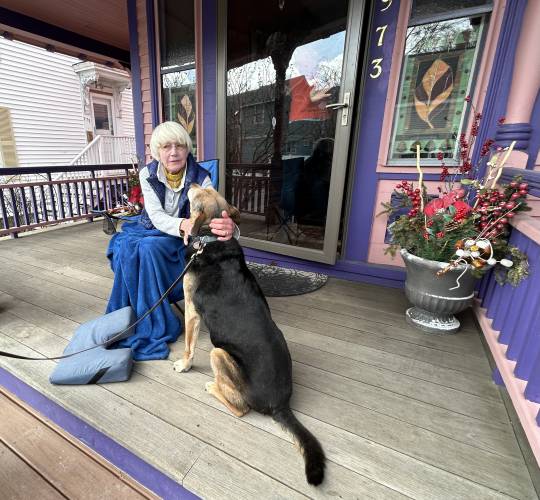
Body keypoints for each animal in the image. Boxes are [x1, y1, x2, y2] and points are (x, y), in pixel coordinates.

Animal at [173, 186, 324, 486]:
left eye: (202, 192)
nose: (192, 183)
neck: (212, 239)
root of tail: (280, 405)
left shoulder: (192, 310)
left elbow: (189, 345)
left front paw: (184, 365)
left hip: (219, 353)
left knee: (240, 408)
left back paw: (212, 387)